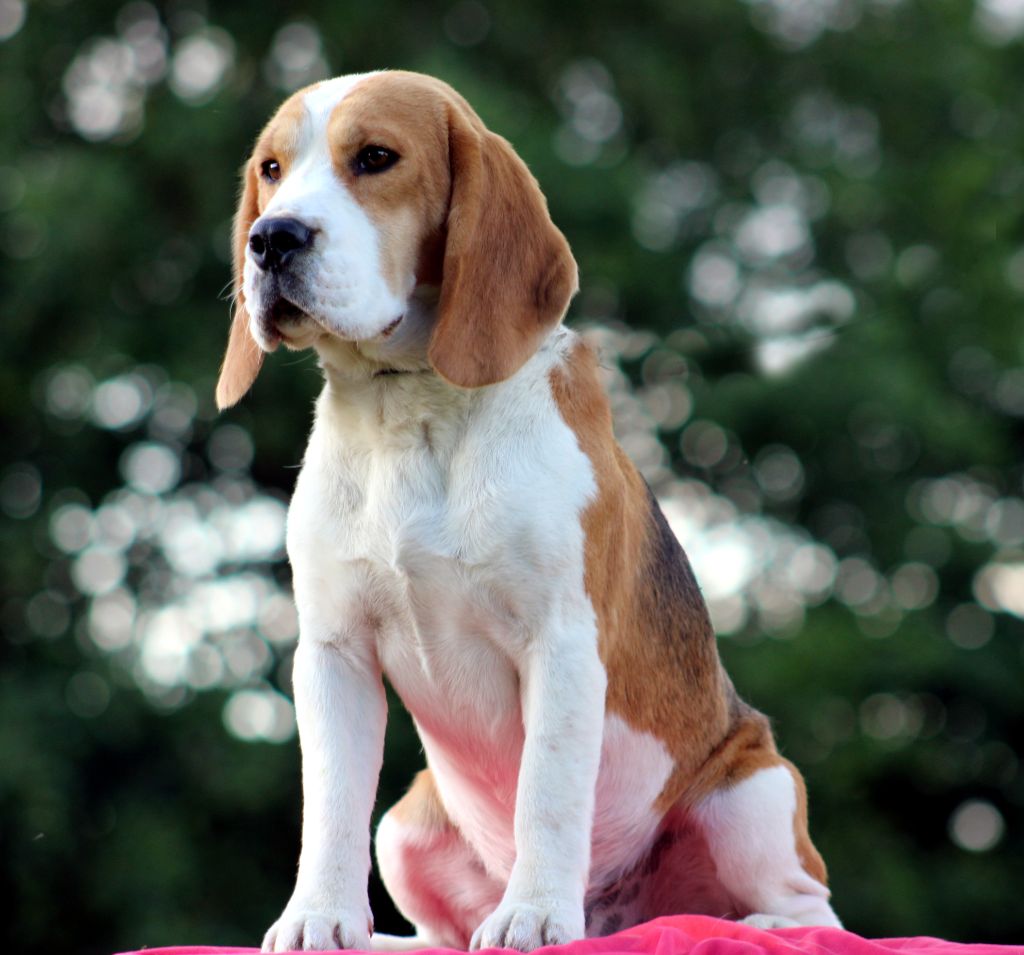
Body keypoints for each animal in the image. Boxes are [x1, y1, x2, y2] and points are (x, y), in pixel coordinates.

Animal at [214, 70, 839, 949]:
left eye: (376, 158)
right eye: (271, 169)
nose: (272, 240)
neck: (410, 409)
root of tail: (617, 914)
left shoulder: (562, 643)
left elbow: (546, 789)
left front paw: (536, 911)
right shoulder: (333, 652)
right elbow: (331, 803)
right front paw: (319, 917)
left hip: (751, 793)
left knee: (811, 905)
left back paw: (763, 924)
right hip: (406, 825)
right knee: (435, 921)